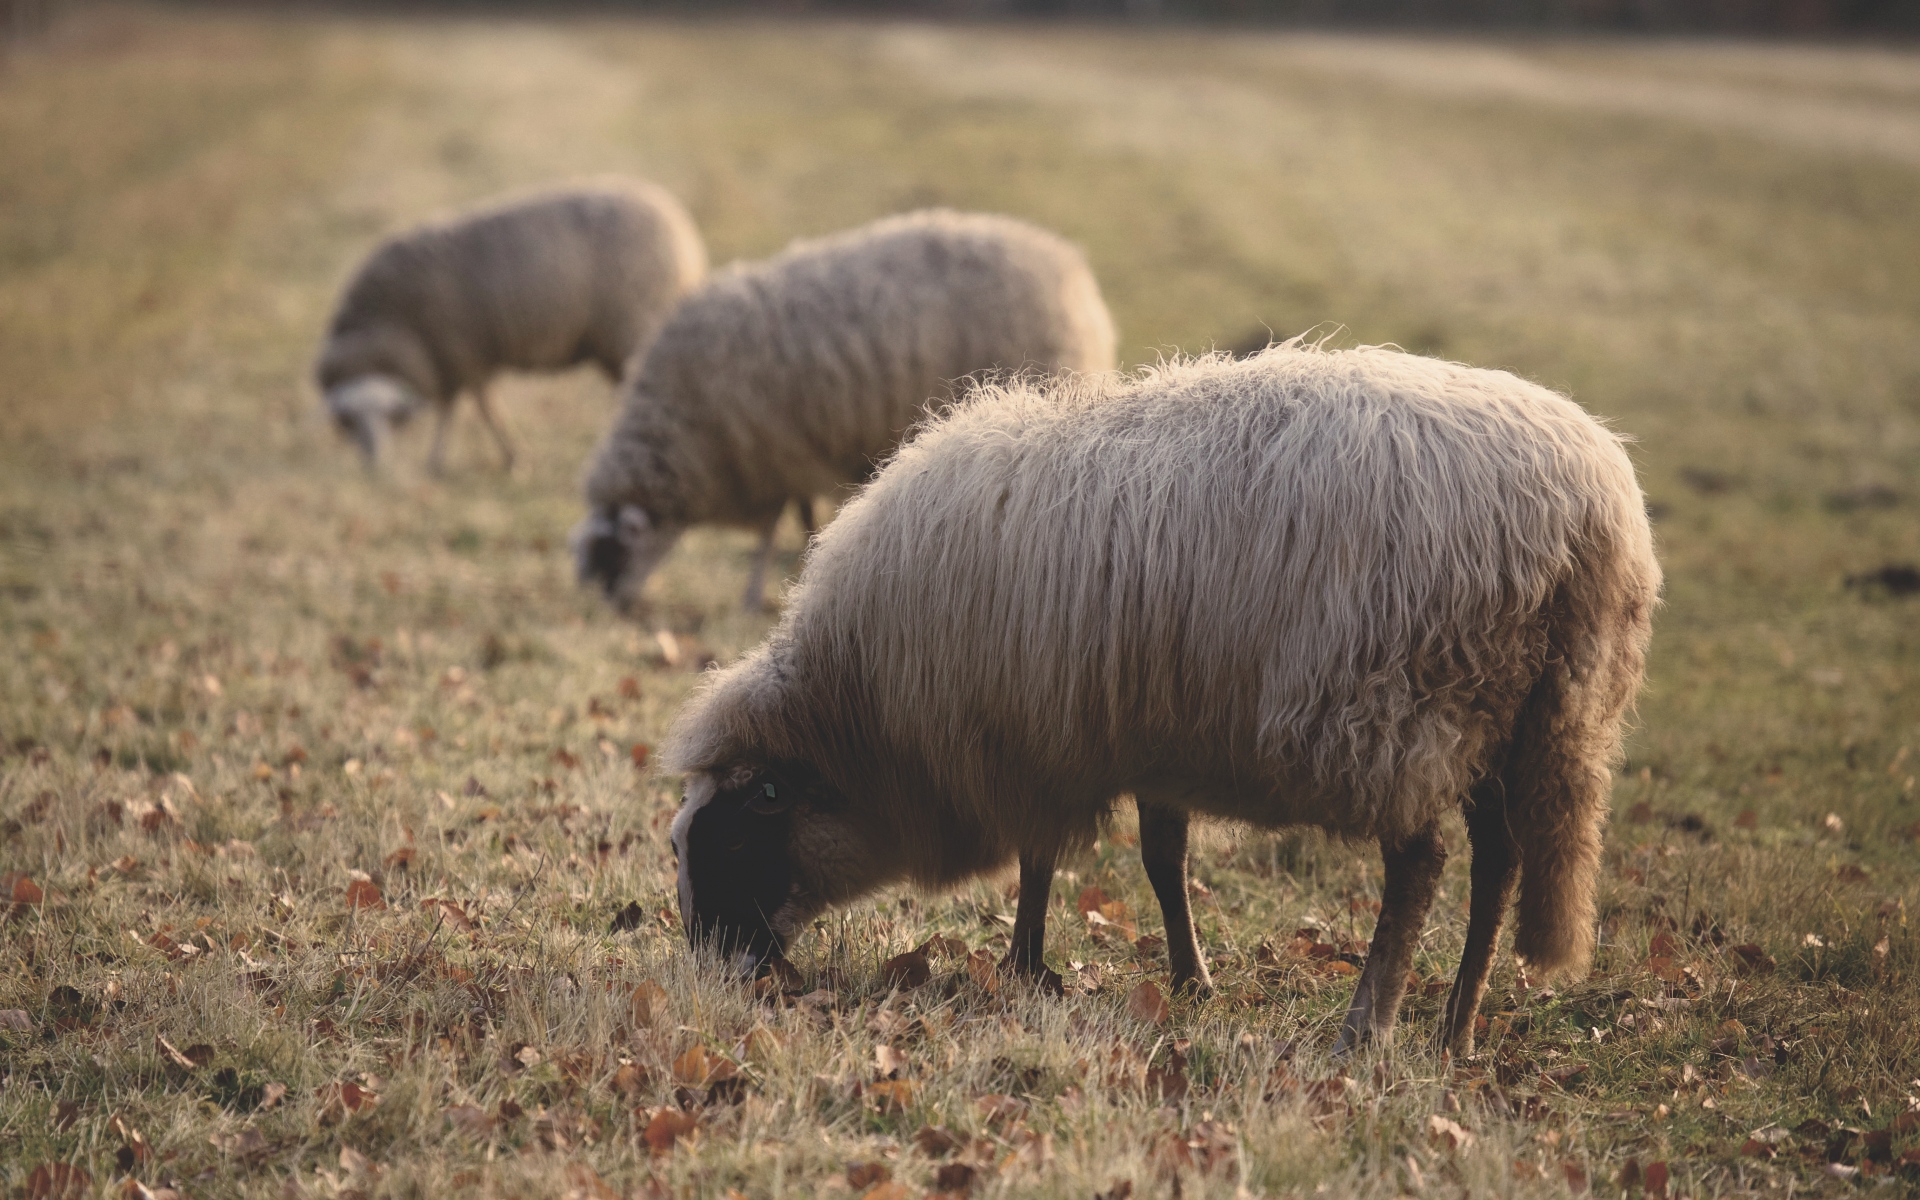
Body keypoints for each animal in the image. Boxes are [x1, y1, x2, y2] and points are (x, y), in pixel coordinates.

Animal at [318, 177, 710, 472]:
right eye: (349, 420)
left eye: (385, 416)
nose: (373, 467)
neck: (389, 322)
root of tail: (683, 231)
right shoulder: (462, 359)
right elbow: (473, 407)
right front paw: (495, 457)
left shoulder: (459, 353)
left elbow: (467, 409)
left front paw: (455, 460)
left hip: (634, 326)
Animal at [560, 207, 1121, 614]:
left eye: (613, 553)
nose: (610, 609)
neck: (683, 426)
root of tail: (1069, 265)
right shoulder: (785, 456)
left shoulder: (775, 453)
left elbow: (771, 531)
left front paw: (758, 593)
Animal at [652, 343, 1658, 1044]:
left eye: (732, 833)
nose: (713, 970)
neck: (867, 717)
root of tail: (1588, 518)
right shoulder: (1143, 734)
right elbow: (1161, 861)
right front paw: (1187, 978)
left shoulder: (1033, 740)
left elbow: (1040, 860)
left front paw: (1024, 967)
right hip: (1518, 718)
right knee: (1499, 862)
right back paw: (1456, 1028)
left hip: (1396, 708)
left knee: (1422, 865)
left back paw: (1365, 1027)